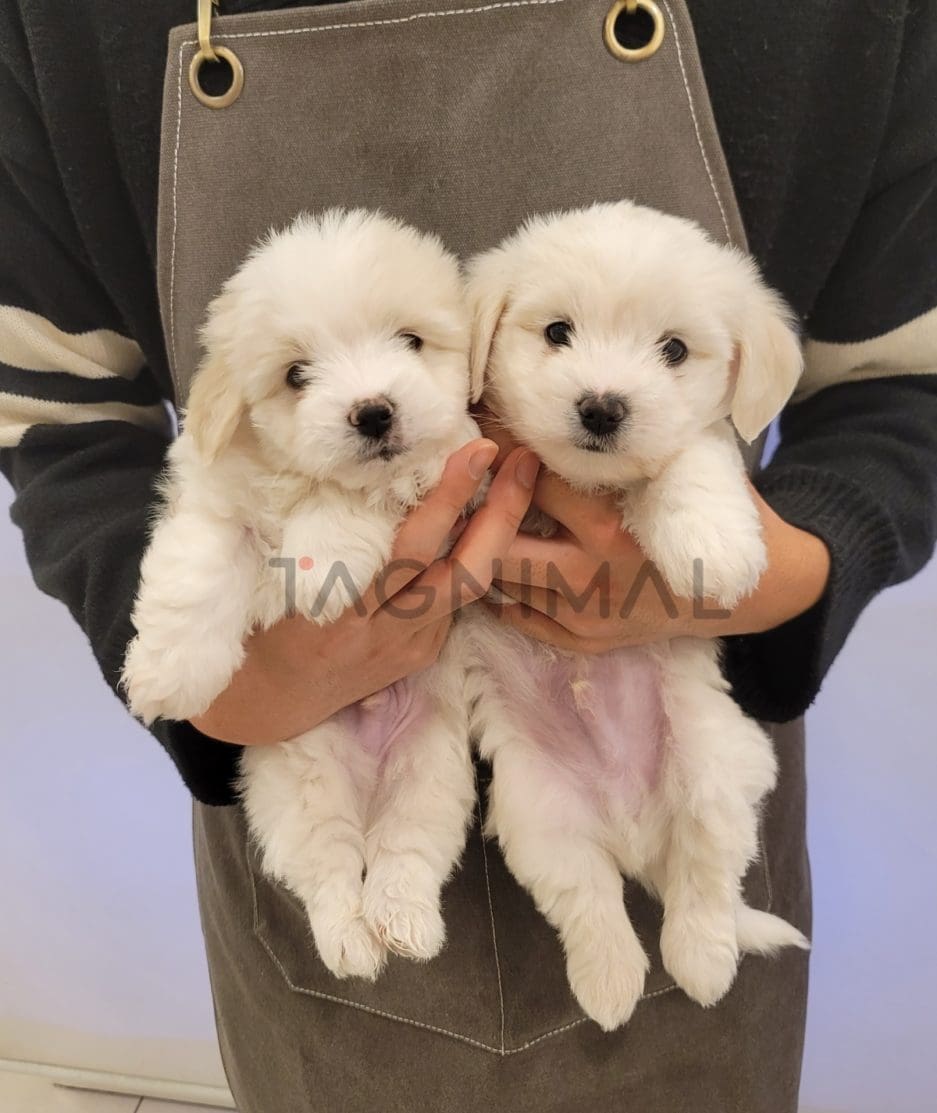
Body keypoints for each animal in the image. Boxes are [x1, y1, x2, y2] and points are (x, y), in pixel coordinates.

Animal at [122, 209, 474, 974]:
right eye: (295, 375)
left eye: (411, 341)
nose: (373, 413)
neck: (300, 478)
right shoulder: (215, 506)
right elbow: (196, 574)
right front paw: (168, 674)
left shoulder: (462, 466)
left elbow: (375, 488)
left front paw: (322, 556)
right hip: (297, 795)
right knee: (330, 874)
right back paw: (351, 942)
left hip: (430, 776)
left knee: (406, 855)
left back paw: (403, 923)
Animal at [462, 200, 805, 1023]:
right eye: (557, 332)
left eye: (673, 349)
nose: (601, 407)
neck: (586, 485)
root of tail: (634, 834)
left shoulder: (701, 440)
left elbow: (694, 455)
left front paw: (712, 539)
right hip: (539, 813)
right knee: (588, 901)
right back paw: (611, 981)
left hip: (715, 766)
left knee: (704, 882)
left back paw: (702, 962)